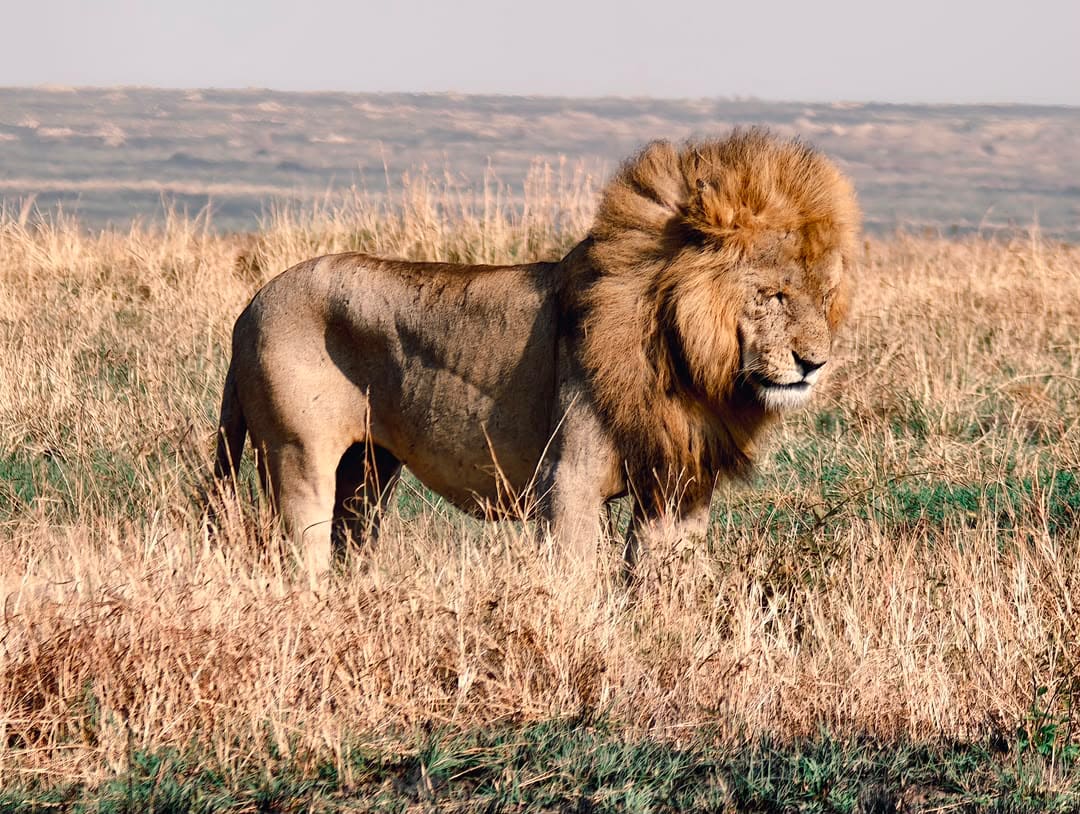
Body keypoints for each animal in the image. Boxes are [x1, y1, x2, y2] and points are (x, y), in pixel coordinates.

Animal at [213, 128, 860, 576]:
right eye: (773, 296)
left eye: (825, 296)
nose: (814, 364)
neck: (683, 356)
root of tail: (251, 306)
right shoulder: (567, 481)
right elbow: (575, 583)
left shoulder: (677, 486)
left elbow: (661, 584)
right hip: (299, 457)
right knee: (302, 558)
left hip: (369, 470)